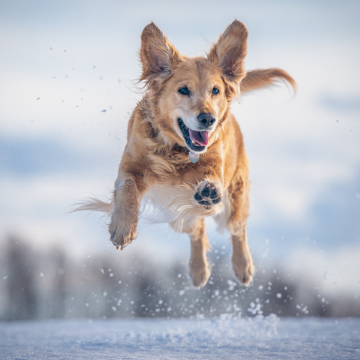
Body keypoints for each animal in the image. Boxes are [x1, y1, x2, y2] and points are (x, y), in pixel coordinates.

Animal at [76, 21, 296, 288]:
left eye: (215, 91)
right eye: (183, 90)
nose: (208, 119)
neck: (176, 151)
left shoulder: (215, 166)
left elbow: (211, 177)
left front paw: (208, 189)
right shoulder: (130, 166)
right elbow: (126, 188)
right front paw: (123, 226)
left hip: (232, 202)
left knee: (237, 228)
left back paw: (243, 266)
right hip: (178, 215)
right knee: (198, 230)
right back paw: (199, 270)